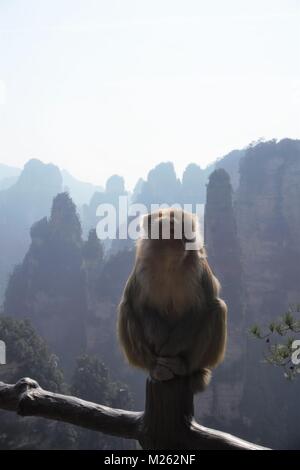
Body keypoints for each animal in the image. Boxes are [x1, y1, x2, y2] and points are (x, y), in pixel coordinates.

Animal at [117, 207, 227, 392]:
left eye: (184, 232)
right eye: (171, 230)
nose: (182, 242)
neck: (169, 262)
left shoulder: (198, 267)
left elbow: (199, 308)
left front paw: (170, 348)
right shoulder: (142, 269)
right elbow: (140, 306)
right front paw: (160, 340)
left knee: (217, 308)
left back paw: (185, 367)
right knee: (126, 308)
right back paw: (155, 367)